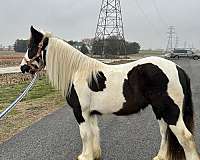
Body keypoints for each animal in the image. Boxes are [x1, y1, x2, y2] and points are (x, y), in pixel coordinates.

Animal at [19, 26, 199, 160]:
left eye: (31, 47)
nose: (22, 67)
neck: (77, 72)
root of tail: (178, 68)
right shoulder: (90, 113)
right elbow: (94, 133)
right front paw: (94, 155)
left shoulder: (80, 112)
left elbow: (85, 134)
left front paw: (85, 156)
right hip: (160, 111)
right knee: (165, 133)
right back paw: (160, 156)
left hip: (171, 111)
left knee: (186, 138)